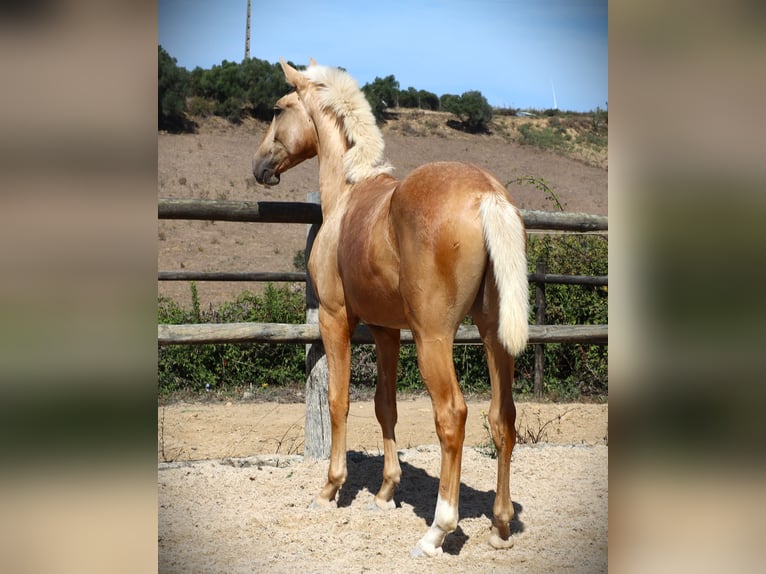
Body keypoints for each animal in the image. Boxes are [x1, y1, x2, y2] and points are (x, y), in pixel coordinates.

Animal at [255, 59, 532, 560]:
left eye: (280, 108)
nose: (260, 166)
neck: (348, 193)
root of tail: (487, 195)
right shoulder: (386, 330)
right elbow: (386, 405)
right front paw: (386, 492)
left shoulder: (336, 319)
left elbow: (339, 400)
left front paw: (330, 488)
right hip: (493, 335)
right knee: (502, 417)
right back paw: (500, 526)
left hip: (433, 339)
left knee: (453, 416)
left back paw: (437, 531)